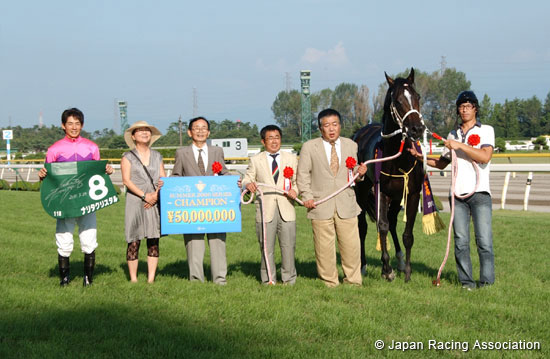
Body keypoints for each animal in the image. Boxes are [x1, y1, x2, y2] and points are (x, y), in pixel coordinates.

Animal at [356, 68, 430, 282]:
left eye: (417, 96)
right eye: (397, 101)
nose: (417, 128)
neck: (398, 159)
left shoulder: (411, 194)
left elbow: (407, 234)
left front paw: (407, 271)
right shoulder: (381, 192)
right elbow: (381, 226)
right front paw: (387, 270)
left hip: (397, 198)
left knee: (393, 223)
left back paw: (398, 260)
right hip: (362, 192)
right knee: (363, 226)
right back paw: (363, 265)